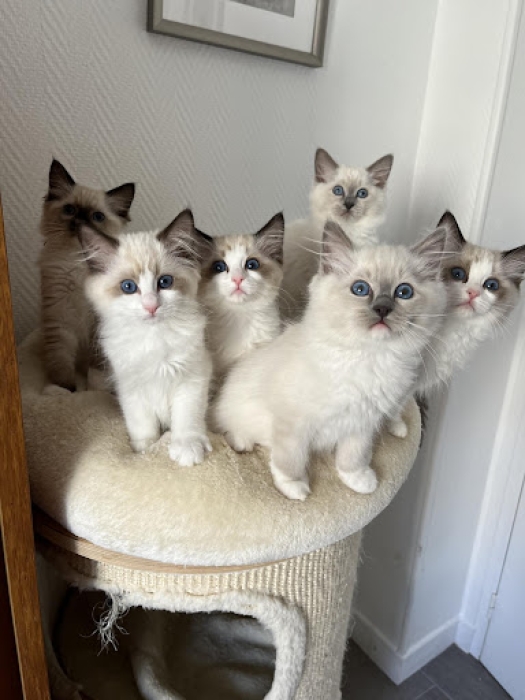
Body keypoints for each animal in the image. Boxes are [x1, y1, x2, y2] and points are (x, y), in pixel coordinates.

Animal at [40, 158, 135, 391]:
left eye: (97, 217)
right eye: (70, 210)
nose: (80, 224)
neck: (80, 265)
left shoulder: (99, 324)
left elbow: (97, 366)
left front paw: (94, 390)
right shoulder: (60, 316)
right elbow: (61, 362)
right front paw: (66, 390)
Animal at [80, 209, 214, 467]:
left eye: (165, 282)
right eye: (128, 287)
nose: (151, 306)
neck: (153, 338)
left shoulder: (192, 377)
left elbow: (187, 418)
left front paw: (186, 449)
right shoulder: (130, 387)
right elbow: (142, 426)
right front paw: (145, 452)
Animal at [214, 220, 447, 501]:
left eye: (404, 292)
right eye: (360, 289)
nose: (382, 309)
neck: (370, 357)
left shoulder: (363, 423)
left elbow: (353, 456)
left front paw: (358, 480)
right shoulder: (293, 423)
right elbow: (290, 458)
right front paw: (294, 487)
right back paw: (242, 442)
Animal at [387, 211, 525, 437]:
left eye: (491, 285)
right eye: (458, 274)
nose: (473, 293)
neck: (450, 331)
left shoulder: (412, 382)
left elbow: (395, 405)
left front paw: (395, 426)